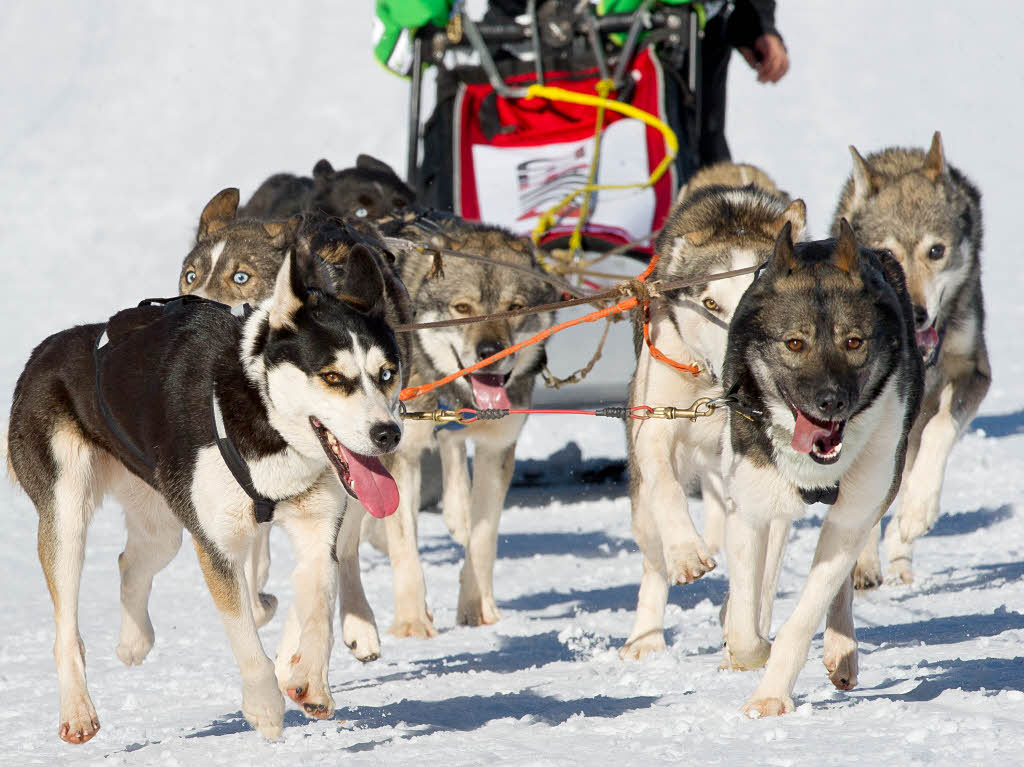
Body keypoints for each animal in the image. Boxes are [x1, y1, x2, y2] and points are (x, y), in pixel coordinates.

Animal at [12, 245, 405, 741]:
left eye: (387, 373)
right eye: (333, 377)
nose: (388, 433)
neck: (260, 414)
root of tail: (43, 351)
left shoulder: (317, 532)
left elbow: (317, 609)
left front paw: (311, 681)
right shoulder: (218, 547)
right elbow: (244, 636)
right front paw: (263, 705)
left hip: (163, 526)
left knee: (130, 564)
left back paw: (134, 642)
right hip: (68, 515)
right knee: (67, 629)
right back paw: (78, 710)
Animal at [716, 223, 925, 716]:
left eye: (853, 342)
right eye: (795, 342)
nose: (832, 401)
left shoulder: (854, 514)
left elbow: (803, 617)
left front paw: (770, 696)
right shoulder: (749, 508)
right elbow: (746, 625)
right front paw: (749, 649)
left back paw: (841, 649)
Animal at [831, 133, 991, 585]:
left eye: (936, 250)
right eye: (887, 254)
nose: (917, 313)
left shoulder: (973, 371)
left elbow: (940, 430)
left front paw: (918, 512)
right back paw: (865, 564)